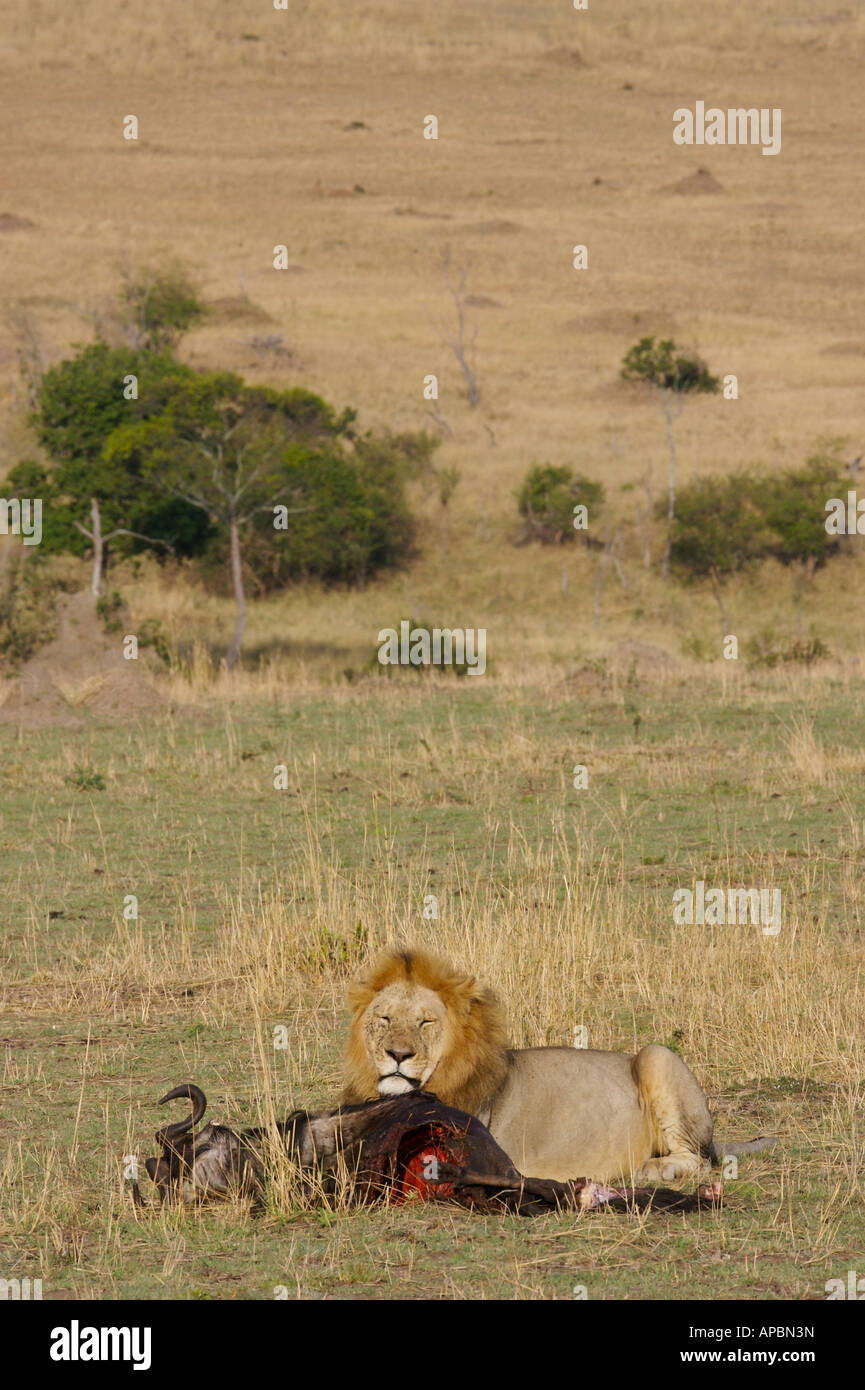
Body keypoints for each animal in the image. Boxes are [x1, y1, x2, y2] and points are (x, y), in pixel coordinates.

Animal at [340, 945, 778, 1184]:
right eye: (385, 1019)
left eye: (426, 1022)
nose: (398, 1055)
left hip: (657, 1055)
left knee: (698, 1160)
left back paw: (651, 1170)